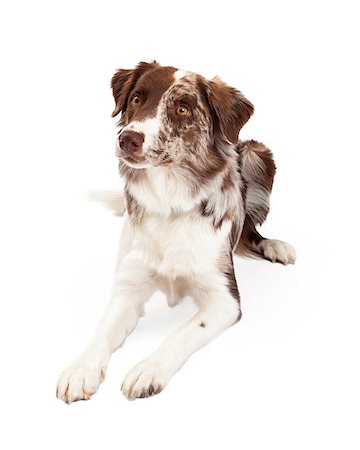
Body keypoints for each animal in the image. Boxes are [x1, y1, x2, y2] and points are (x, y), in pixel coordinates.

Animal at [56, 60, 296, 404]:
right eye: (136, 99)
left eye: (182, 109)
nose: (128, 139)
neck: (169, 201)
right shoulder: (128, 287)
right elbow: (103, 331)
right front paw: (81, 369)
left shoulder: (224, 300)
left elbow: (182, 333)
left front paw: (148, 370)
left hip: (256, 153)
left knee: (252, 230)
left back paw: (274, 246)